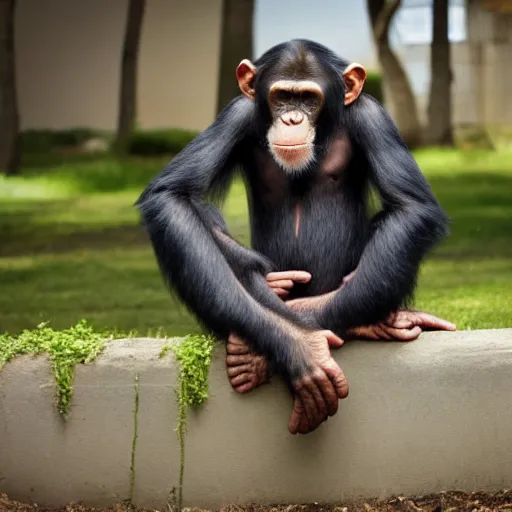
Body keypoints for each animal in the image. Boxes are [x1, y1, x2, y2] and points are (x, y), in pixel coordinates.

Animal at [137, 39, 456, 436]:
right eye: (281, 97)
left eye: (308, 99)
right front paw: (299, 345)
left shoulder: (372, 116)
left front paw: (307, 317)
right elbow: (172, 196)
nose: (292, 119)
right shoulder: (235, 114)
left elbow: (409, 207)